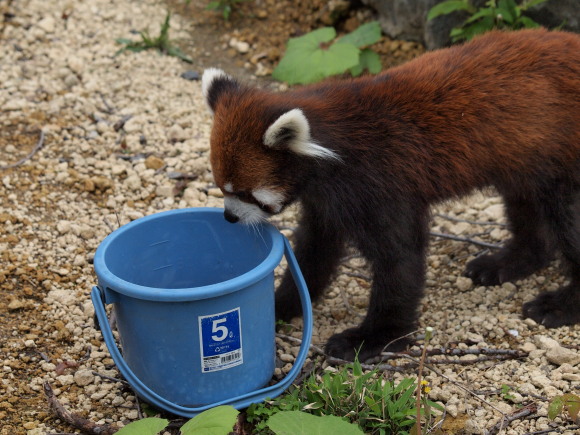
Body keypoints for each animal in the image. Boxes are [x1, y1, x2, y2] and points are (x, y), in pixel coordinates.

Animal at [203, 28, 580, 362]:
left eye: (247, 194)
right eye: (222, 188)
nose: (229, 217)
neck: (331, 148)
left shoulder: (383, 182)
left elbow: (399, 259)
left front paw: (374, 337)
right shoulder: (326, 201)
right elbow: (315, 251)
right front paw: (283, 303)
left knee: (567, 218)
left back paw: (560, 304)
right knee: (526, 205)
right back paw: (508, 262)